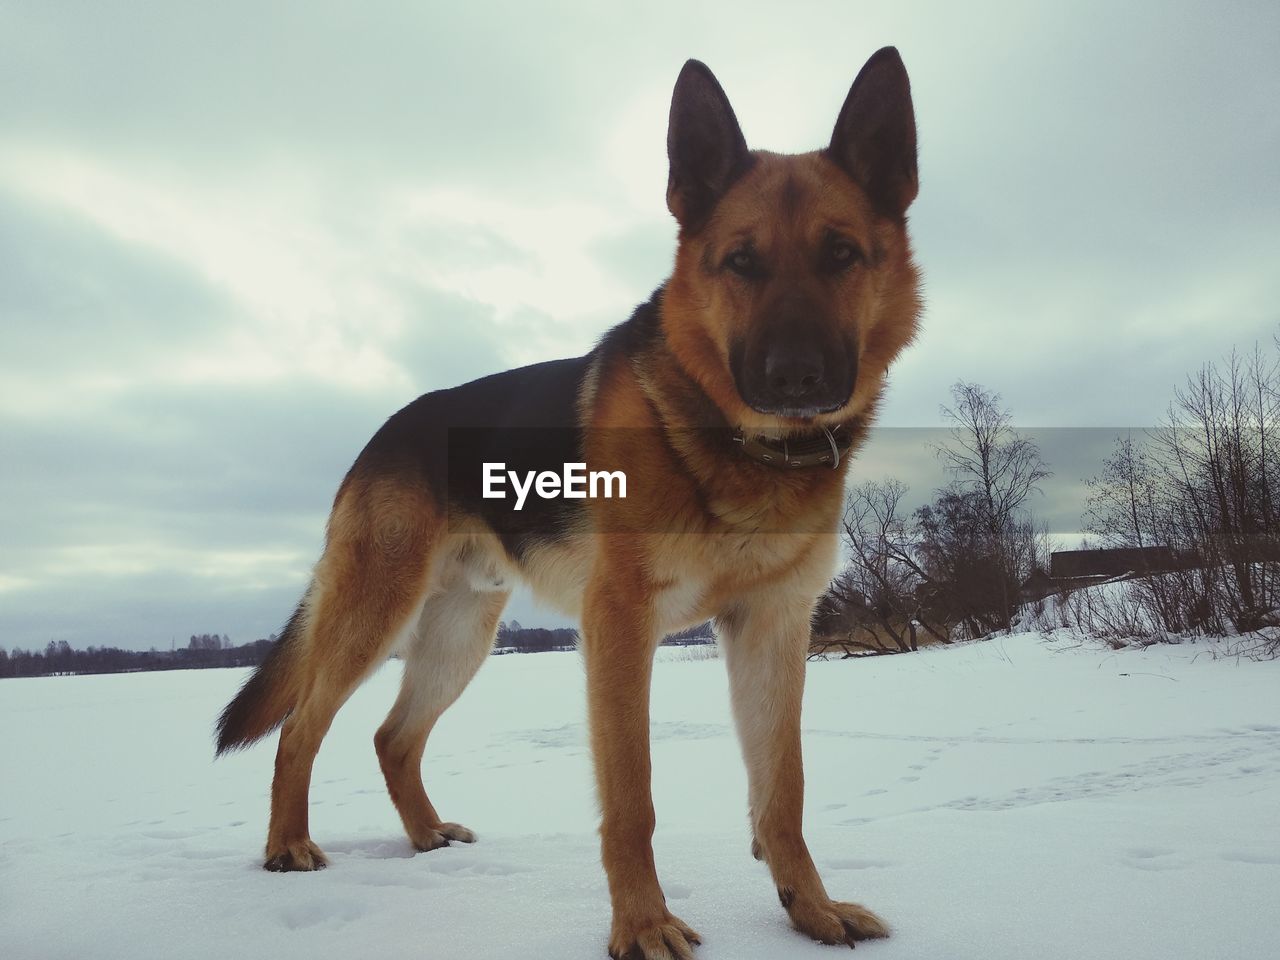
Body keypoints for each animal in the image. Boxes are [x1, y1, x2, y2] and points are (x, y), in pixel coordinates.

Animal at [220, 47, 921, 960]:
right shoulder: (619, 624)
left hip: (460, 634)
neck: (733, 445)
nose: (794, 378)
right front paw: (644, 926)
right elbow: (633, 798)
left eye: (841, 255)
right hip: (376, 611)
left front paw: (810, 910)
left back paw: (424, 836)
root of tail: (387, 429)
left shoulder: (771, 626)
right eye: (741, 262)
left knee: (392, 737)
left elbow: (784, 790)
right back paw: (288, 846)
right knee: (301, 730)